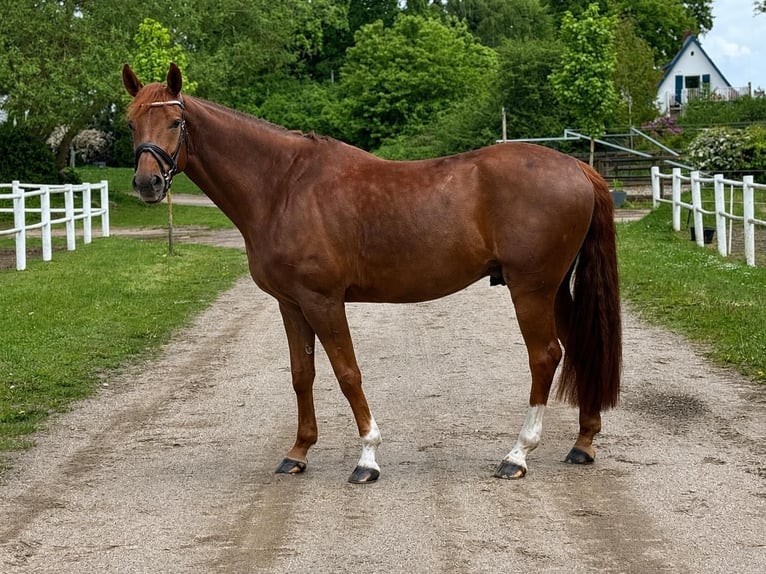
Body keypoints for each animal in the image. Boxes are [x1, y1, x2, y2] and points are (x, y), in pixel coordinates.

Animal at [122, 63, 621, 484]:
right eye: (131, 123)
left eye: (175, 122)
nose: (147, 184)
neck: (283, 187)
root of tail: (579, 167)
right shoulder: (290, 303)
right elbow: (301, 374)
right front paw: (298, 452)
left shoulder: (323, 300)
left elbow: (347, 373)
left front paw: (367, 457)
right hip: (554, 290)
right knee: (579, 347)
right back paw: (582, 442)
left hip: (530, 288)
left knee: (545, 356)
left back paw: (517, 454)